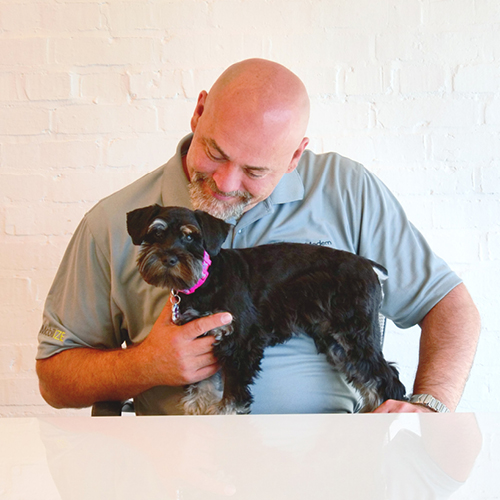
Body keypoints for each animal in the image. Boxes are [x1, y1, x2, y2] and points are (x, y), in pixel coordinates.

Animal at [127, 204, 407, 415]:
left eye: (189, 236)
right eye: (157, 234)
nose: (169, 258)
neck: (205, 278)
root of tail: (369, 266)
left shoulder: (240, 343)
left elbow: (233, 394)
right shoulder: (198, 341)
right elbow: (200, 388)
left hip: (355, 335)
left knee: (387, 377)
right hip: (338, 344)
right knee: (369, 377)